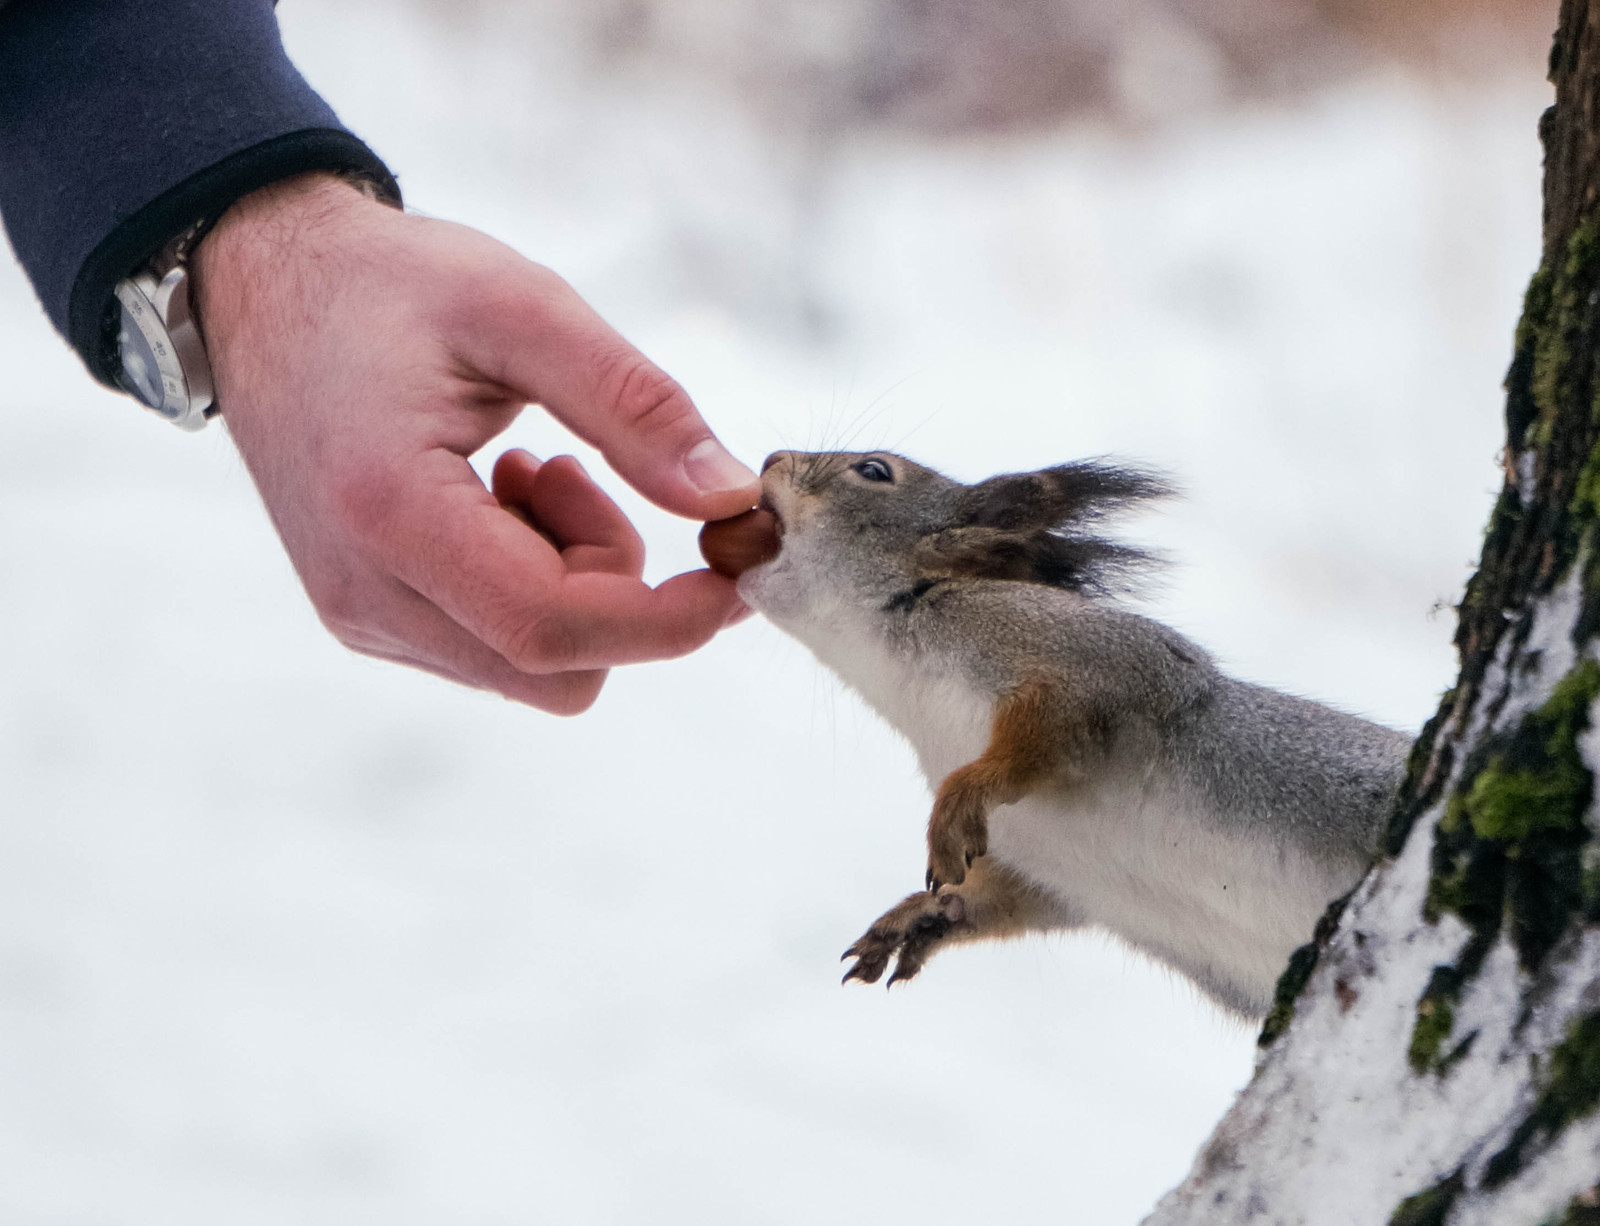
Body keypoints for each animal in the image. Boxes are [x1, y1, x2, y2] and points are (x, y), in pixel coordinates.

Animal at [732, 448, 1408, 1017]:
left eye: (874, 471)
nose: (771, 459)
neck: (893, 678)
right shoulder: (1042, 862)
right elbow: (1006, 899)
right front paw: (922, 916)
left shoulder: (1093, 662)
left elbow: (1047, 733)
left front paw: (966, 794)